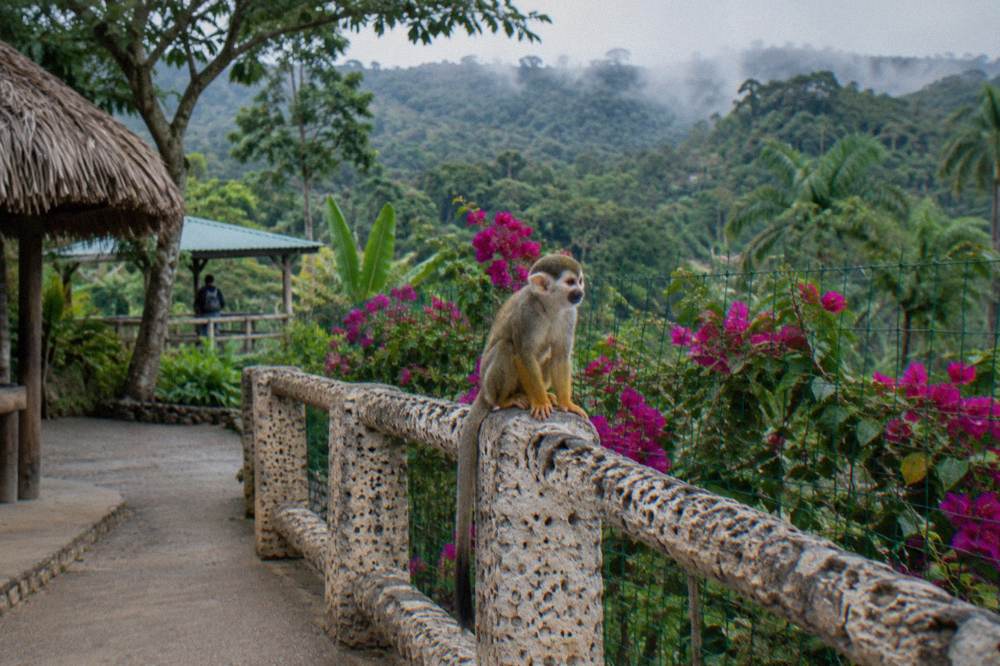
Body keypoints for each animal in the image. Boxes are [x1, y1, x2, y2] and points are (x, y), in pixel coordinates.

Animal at [454, 254, 588, 631]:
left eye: (580, 281)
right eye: (570, 282)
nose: (581, 293)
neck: (550, 305)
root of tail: (482, 392)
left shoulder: (569, 317)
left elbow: (560, 355)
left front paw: (566, 403)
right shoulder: (528, 315)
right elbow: (524, 353)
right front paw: (541, 403)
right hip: (489, 380)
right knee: (508, 348)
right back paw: (512, 399)